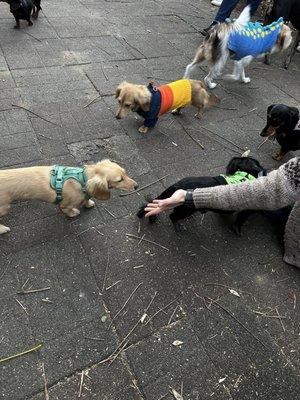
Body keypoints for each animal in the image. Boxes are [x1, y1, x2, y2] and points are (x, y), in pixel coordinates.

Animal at [137, 155, 268, 233]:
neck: (246, 174)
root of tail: (178, 185)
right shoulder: (247, 210)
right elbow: (240, 219)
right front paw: (236, 229)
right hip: (184, 211)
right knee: (172, 216)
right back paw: (177, 226)